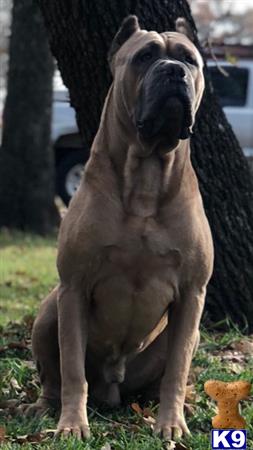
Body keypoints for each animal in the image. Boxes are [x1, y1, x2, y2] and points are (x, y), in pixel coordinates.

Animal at [21, 16, 213, 440]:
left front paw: (171, 424)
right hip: (49, 312)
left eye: (189, 60)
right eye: (144, 56)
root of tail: (113, 390)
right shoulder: (74, 287)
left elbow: (177, 370)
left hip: (187, 332)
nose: (174, 72)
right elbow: (72, 368)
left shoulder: (192, 293)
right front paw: (72, 425)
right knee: (54, 376)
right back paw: (43, 407)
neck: (146, 173)